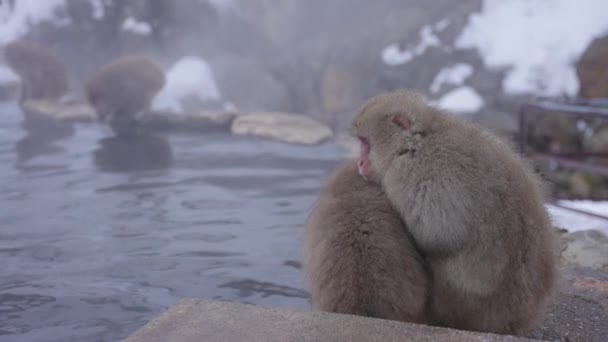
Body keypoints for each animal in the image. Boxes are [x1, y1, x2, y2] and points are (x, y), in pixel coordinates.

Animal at [352, 91, 560, 336]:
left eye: (365, 142)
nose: (360, 162)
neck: (415, 140)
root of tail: (517, 320)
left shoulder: (415, 170)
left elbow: (439, 234)